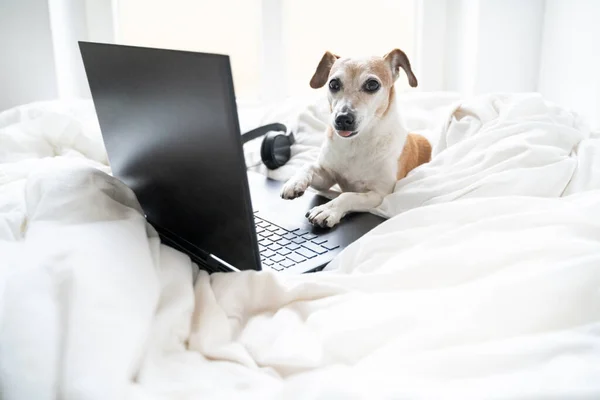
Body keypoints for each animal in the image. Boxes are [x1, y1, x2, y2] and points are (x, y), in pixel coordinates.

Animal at [282, 47, 432, 228]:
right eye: (333, 84)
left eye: (372, 84)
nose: (342, 119)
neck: (356, 143)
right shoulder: (327, 176)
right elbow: (308, 166)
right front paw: (294, 182)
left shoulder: (379, 194)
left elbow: (348, 195)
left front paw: (328, 209)